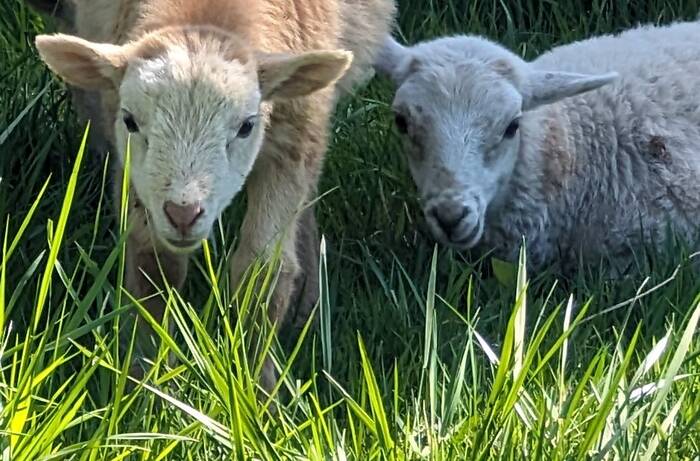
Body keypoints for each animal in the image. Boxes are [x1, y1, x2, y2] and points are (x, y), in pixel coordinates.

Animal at [34, 0, 396, 388]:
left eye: (247, 126)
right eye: (130, 121)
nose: (183, 213)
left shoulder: (295, 137)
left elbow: (263, 270)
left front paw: (257, 387)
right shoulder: (132, 168)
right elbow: (153, 263)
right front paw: (145, 378)